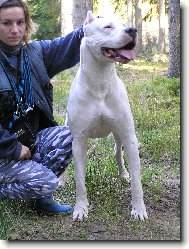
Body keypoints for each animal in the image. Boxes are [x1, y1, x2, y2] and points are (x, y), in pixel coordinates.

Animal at [67, 11, 148, 222]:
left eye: (125, 25)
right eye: (107, 27)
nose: (132, 30)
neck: (100, 81)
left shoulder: (130, 137)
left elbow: (137, 181)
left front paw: (138, 209)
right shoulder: (79, 140)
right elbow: (79, 180)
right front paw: (81, 208)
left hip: (119, 135)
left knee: (117, 153)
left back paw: (123, 173)